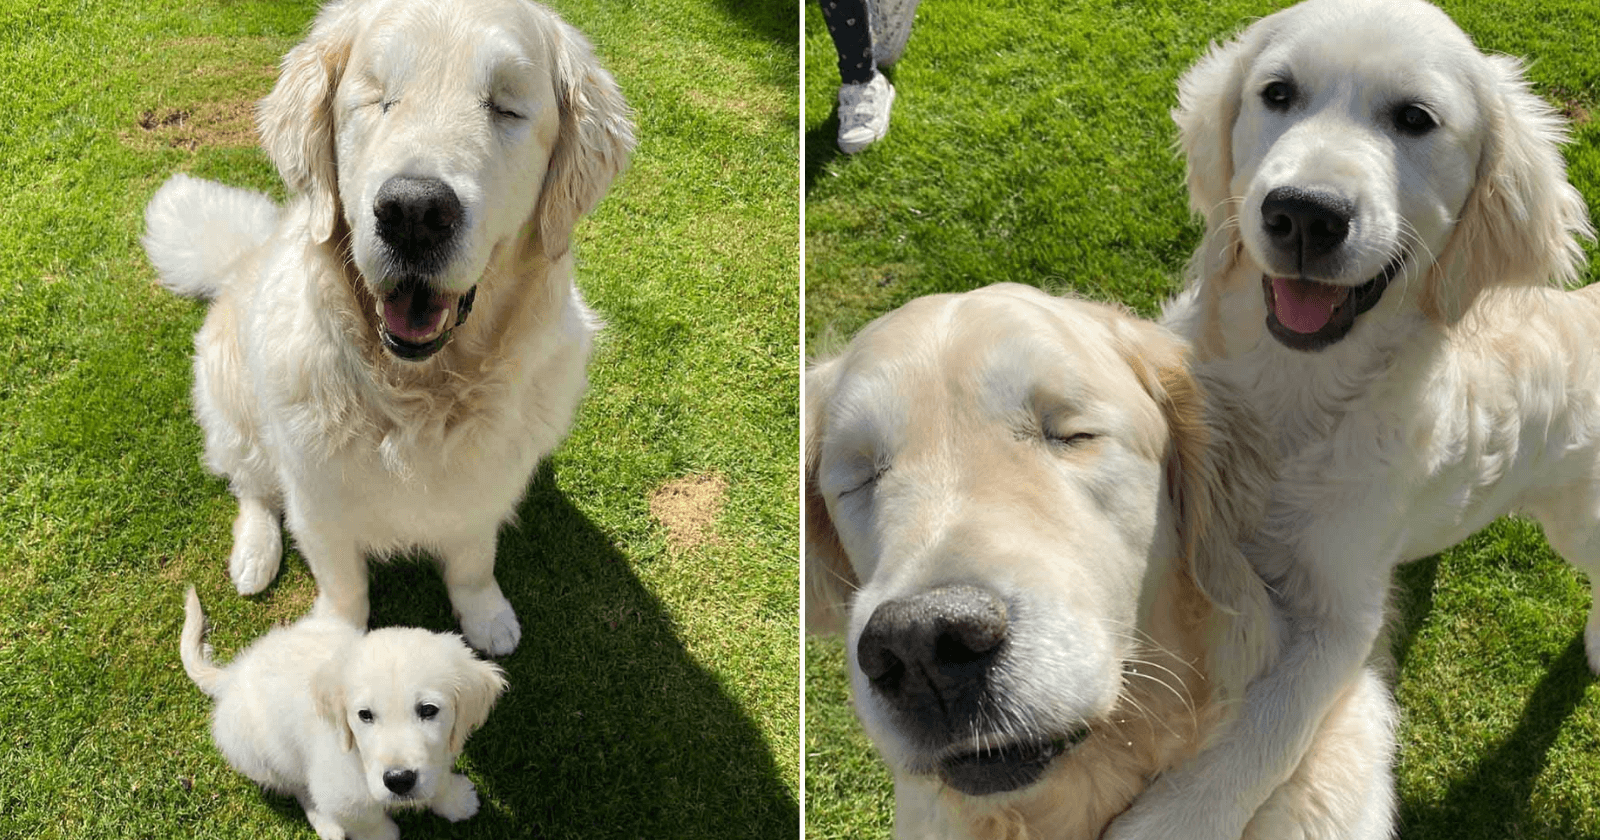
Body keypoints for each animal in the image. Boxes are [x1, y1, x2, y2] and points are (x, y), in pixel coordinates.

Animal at [142, 0, 630, 656]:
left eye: (505, 107)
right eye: (379, 99)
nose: (415, 212)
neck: (416, 397)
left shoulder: (481, 492)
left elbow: (473, 562)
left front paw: (487, 618)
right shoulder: (318, 504)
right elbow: (345, 586)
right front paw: (334, 643)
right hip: (232, 408)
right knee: (250, 486)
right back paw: (254, 555)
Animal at [180, 588, 505, 838]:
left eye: (428, 710)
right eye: (365, 715)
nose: (399, 780)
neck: (359, 760)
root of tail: (232, 676)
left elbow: (438, 781)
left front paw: (454, 799)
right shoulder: (338, 788)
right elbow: (364, 819)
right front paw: (383, 834)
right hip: (263, 757)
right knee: (299, 787)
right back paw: (327, 825)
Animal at [1113, 3, 1600, 832]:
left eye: (1415, 119)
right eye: (1277, 93)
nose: (1304, 214)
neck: (1293, 393)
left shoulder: (1343, 615)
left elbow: (1270, 729)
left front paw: (1172, 822)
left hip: (1577, 516)